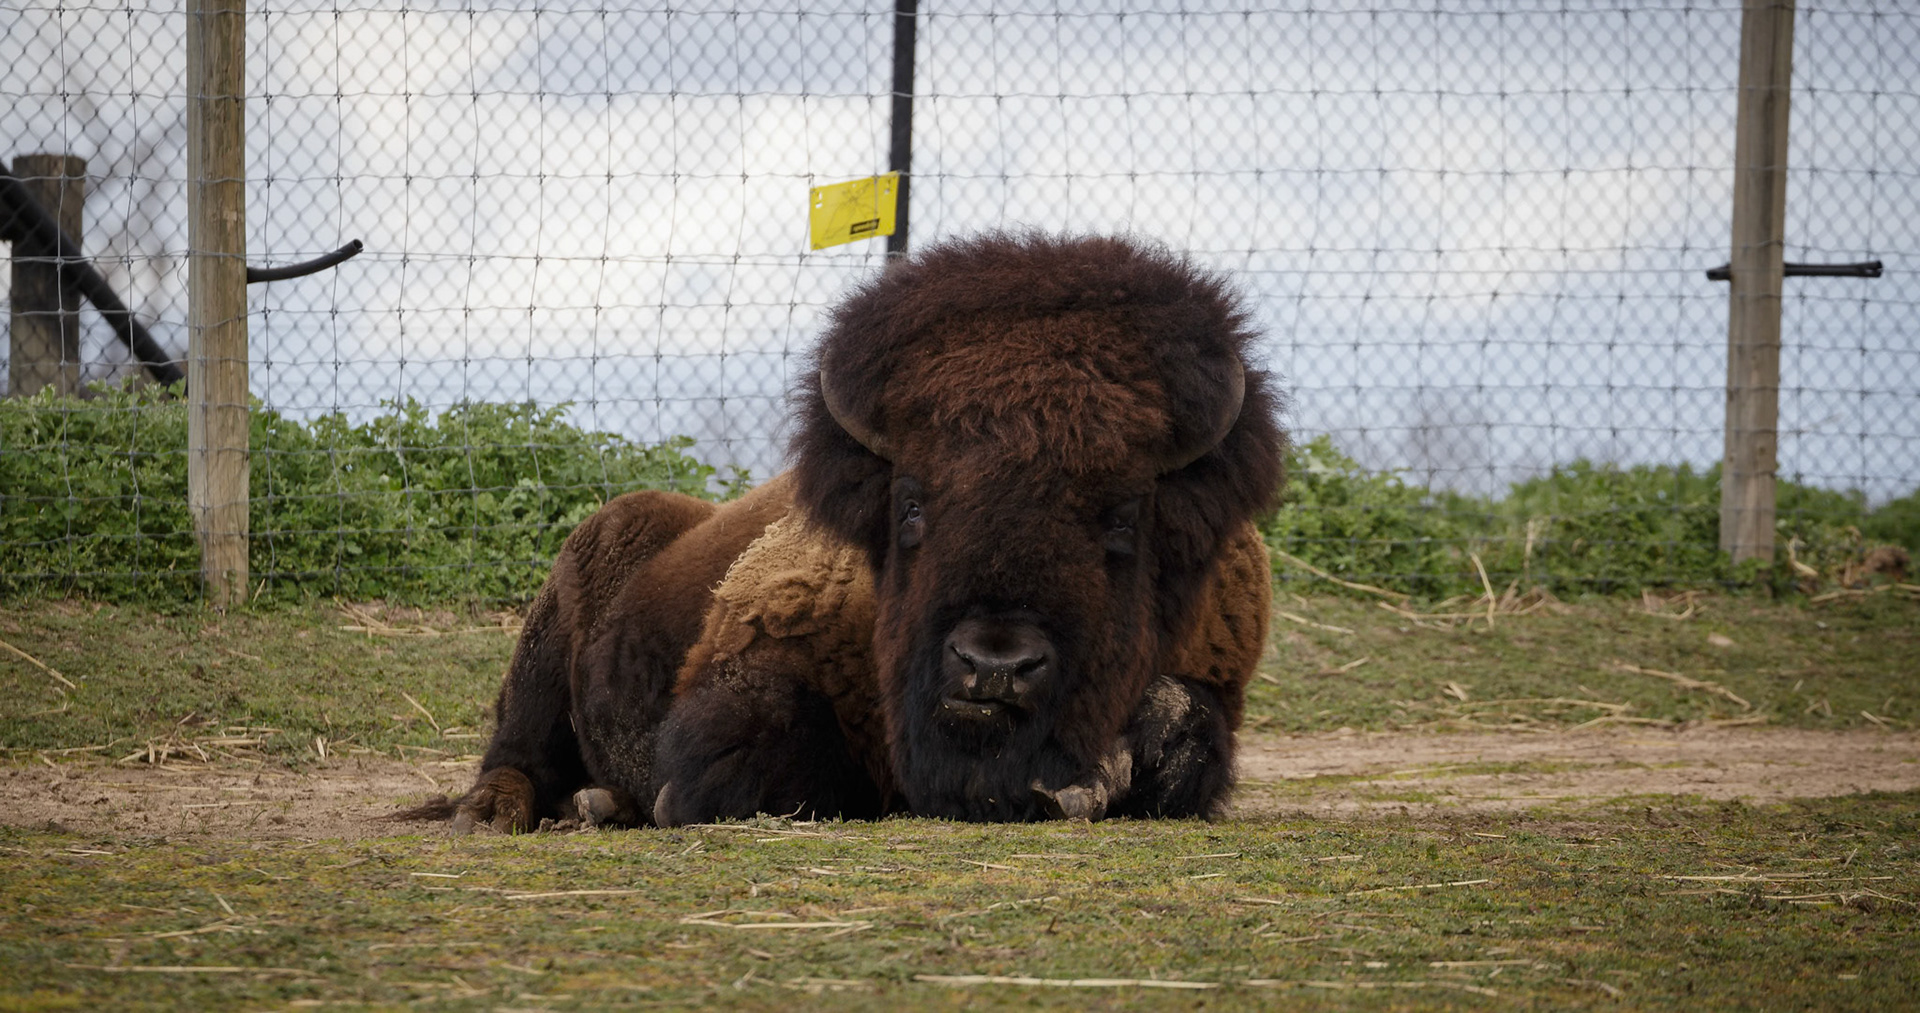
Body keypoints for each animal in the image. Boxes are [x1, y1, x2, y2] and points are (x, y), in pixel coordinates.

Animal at [402, 232, 1286, 831]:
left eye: (1124, 515)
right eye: (912, 503)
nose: (992, 663)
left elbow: (1181, 723)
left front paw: (1087, 779)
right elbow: (758, 761)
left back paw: (597, 802)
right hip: (544, 655)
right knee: (514, 754)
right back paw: (496, 813)